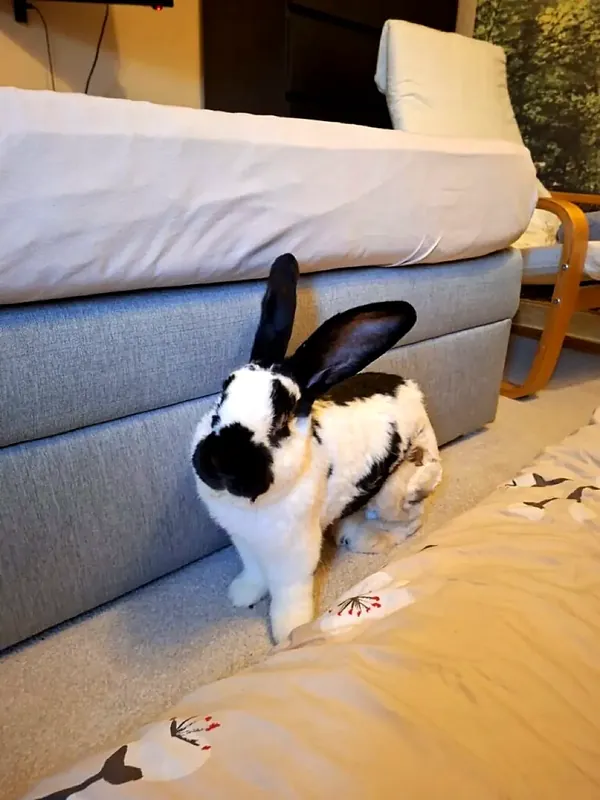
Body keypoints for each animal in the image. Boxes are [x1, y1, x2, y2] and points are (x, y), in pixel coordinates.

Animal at [191, 254, 442, 644]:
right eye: (221, 398)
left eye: (281, 421)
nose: (220, 462)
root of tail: (414, 391)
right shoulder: (246, 543)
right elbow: (254, 573)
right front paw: (242, 595)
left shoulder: (295, 555)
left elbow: (288, 593)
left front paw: (287, 632)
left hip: (399, 489)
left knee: (410, 521)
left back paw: (368, 540)